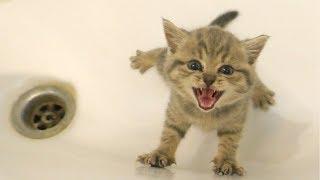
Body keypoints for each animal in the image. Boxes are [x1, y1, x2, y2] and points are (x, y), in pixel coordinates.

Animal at [130, 10, 276, 176]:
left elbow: (230, 141)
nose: (208, 79)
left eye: (226, 70)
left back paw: (261, 92)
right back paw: (143, 58)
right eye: (194, 65)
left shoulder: (236, 118)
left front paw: (227, 162)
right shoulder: (176, 110)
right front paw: (162, 153)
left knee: (255, 75)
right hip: (164, 64)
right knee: (161, 52)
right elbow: (170, 132)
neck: (206, 114)